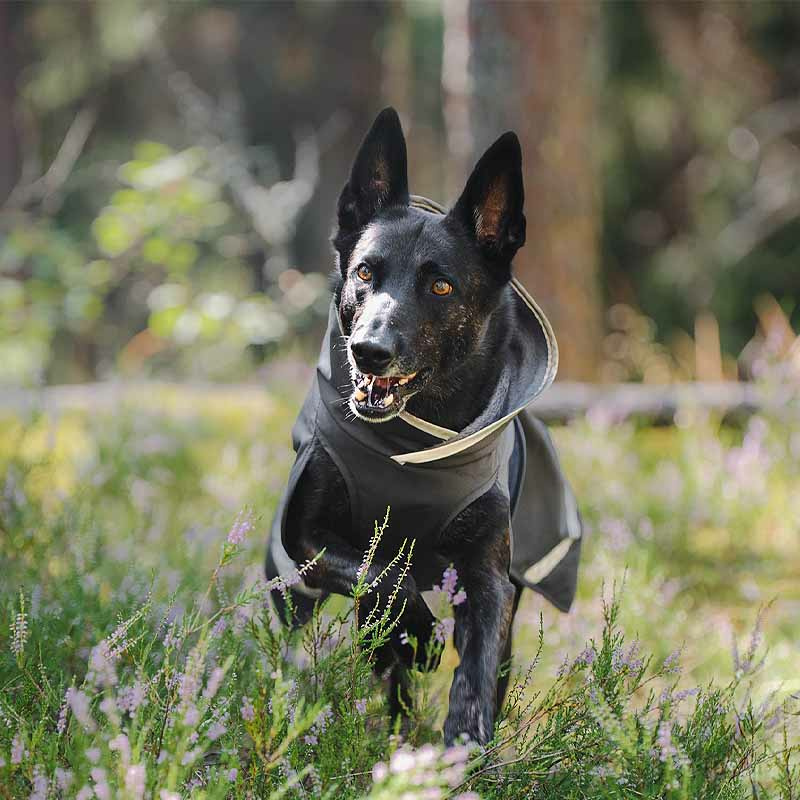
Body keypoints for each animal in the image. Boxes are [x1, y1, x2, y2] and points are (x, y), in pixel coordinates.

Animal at [268, 109, 580, 748]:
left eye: (441, 285)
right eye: (365, 271)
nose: (368, 351)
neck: (411, 443)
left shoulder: (489, 578)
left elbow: (477, 669)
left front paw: (463, 743)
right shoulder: (304, 539)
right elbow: (382, 576)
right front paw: (414, 633)